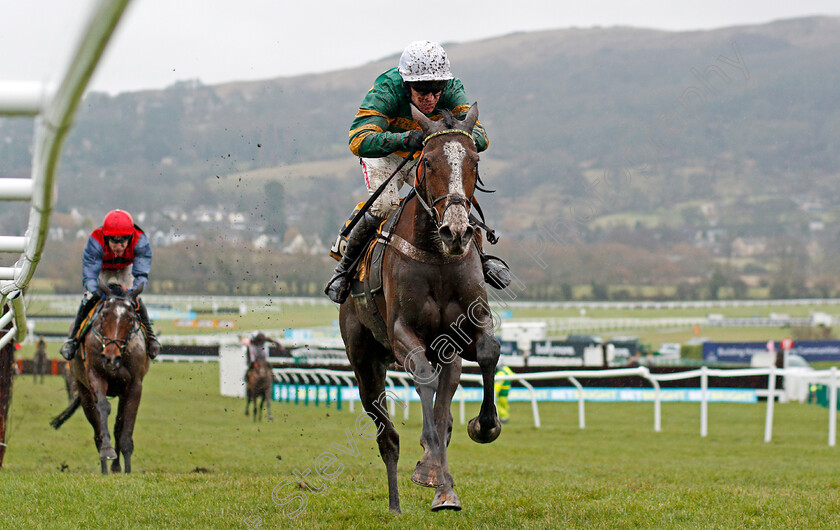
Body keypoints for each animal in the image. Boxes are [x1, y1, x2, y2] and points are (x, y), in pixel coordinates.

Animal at [50, 278, 151, 472]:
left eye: (130, 318)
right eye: (104, 315)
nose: (110, 358)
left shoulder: (135, 385)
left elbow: (125, 425)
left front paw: (127, 469)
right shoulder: (95, 376)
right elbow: (103, 407)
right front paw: (107, 451)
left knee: (118, 425)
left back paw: (116, 467)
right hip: (83, 390)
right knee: (96, 426)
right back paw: (105, 467)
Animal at [340, 103, 498, 512]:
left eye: (474, 161)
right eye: (427, 161)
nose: (456, 232)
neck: (437, 256)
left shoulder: (465, 330)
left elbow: (488, 353)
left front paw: (484, 426)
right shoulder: (401, 333)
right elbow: (424, 378)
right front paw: (431, 472)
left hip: (447, 355)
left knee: (444, 408)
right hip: (364, 360)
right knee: (388, 437)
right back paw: (396, 504)